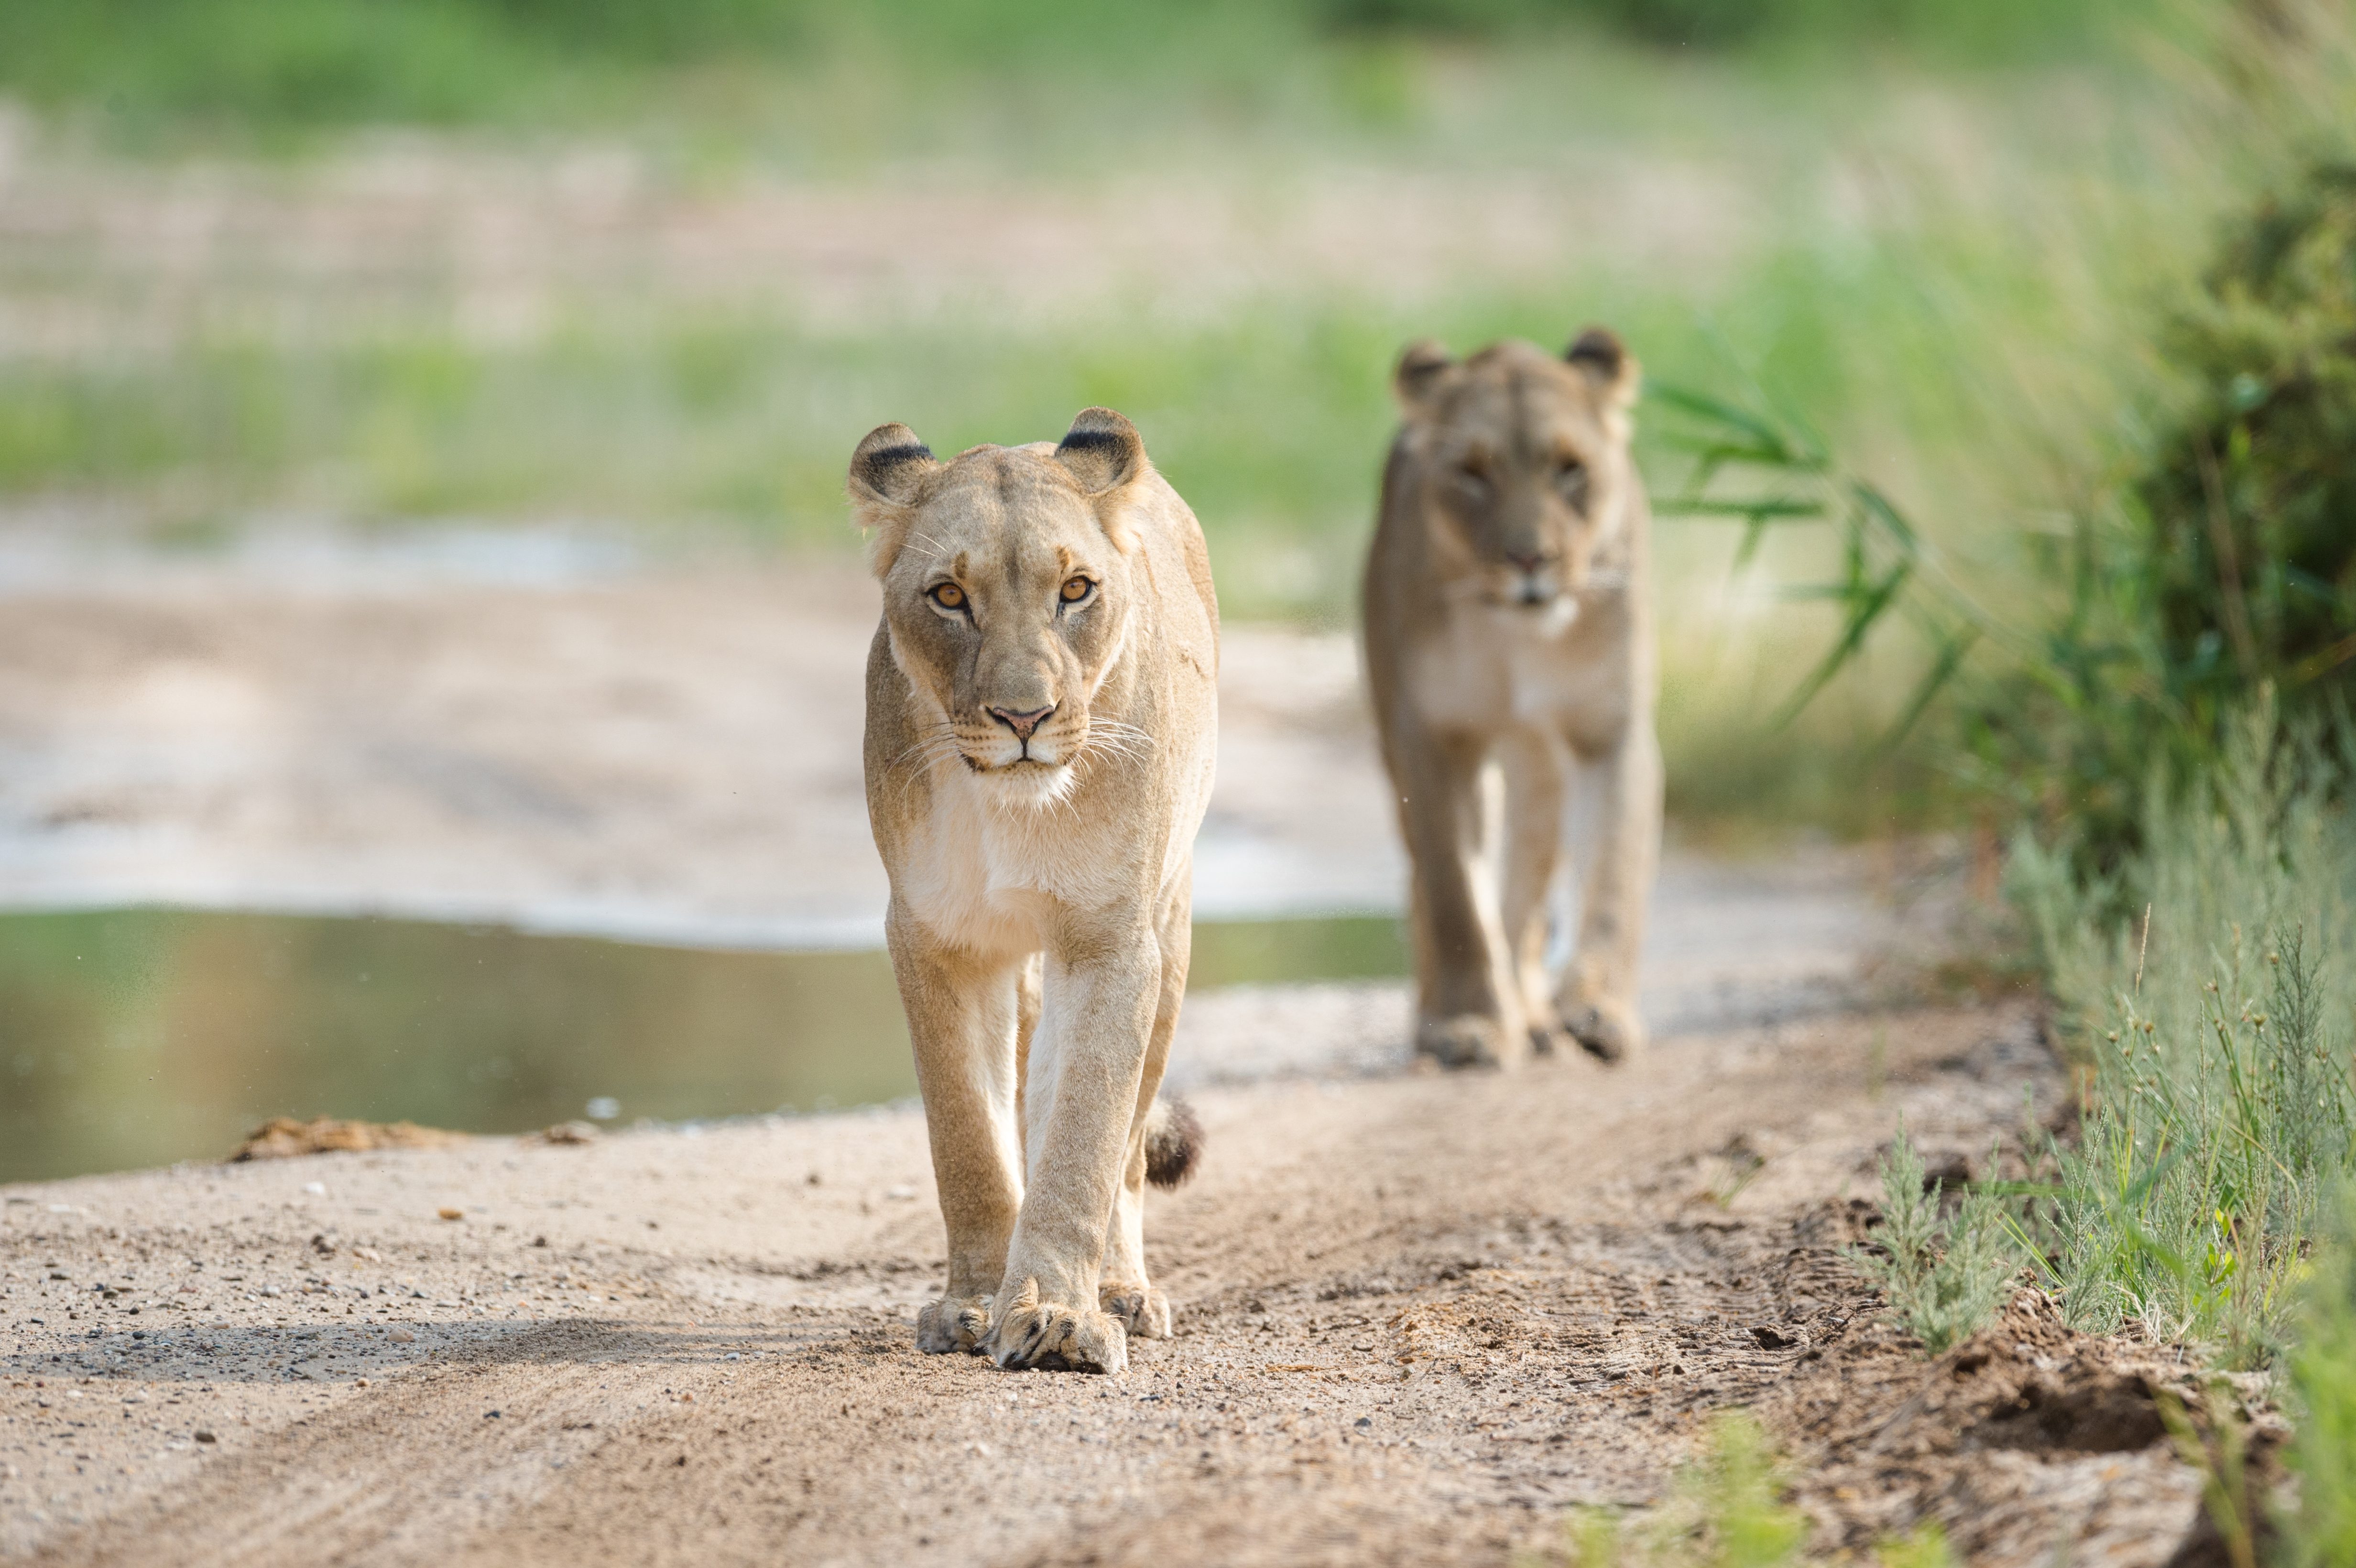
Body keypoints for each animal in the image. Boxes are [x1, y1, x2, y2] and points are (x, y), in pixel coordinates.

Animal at [852, 407, 1216, 1375]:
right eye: (949, 597)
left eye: (1076, 590)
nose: (1025, 718)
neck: (1013, 811)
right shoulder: (935, 938)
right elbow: (969, 1138)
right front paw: (976, 1302)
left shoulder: (1111, 938)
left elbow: (1085, 1131)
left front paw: (1057, 1314)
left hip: (1170, 932)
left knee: (1126, 1147)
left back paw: (1121, 1289)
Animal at [1362, 330, 1661, 1071]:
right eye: (1473, 473)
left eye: (1570, 469)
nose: (1531, 560)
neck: (1518, 639)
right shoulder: (1431, 737)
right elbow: (1454, 894)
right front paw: (1467, 1025)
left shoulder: (1610, 729)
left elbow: (1613, 875)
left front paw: (1599, 1014)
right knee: (1430, 891)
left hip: (1539, 769)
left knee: (1527, 893)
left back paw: (1534, 1015)